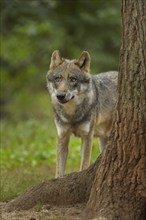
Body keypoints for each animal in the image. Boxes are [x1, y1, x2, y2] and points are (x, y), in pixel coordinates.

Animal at [46, 49, 118, 177]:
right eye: (58, 79)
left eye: (73, 79)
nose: (60, 95)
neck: (71, 115)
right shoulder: (62, 137)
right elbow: (59, 171)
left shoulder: (87, 137)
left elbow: (84, 165)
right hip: (102, 140)